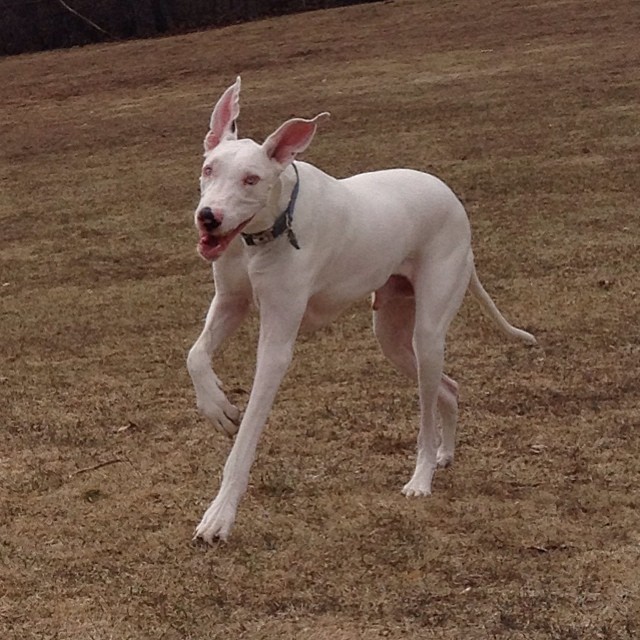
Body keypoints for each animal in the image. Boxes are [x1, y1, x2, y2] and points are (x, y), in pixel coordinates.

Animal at [186, 77, 536, 544]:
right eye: (209, 169)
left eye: (251, 179)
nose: (209, 217)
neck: (273, 226)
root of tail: (450, 196)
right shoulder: (230, 303)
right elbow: (195, 355)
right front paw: (218, 407)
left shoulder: (276, 345)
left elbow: (244, 442)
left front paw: (219, 515)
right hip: (391, 338)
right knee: (449, 387)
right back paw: (444, 454)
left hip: (427, 333)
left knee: (427, 409)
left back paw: (421, 476)